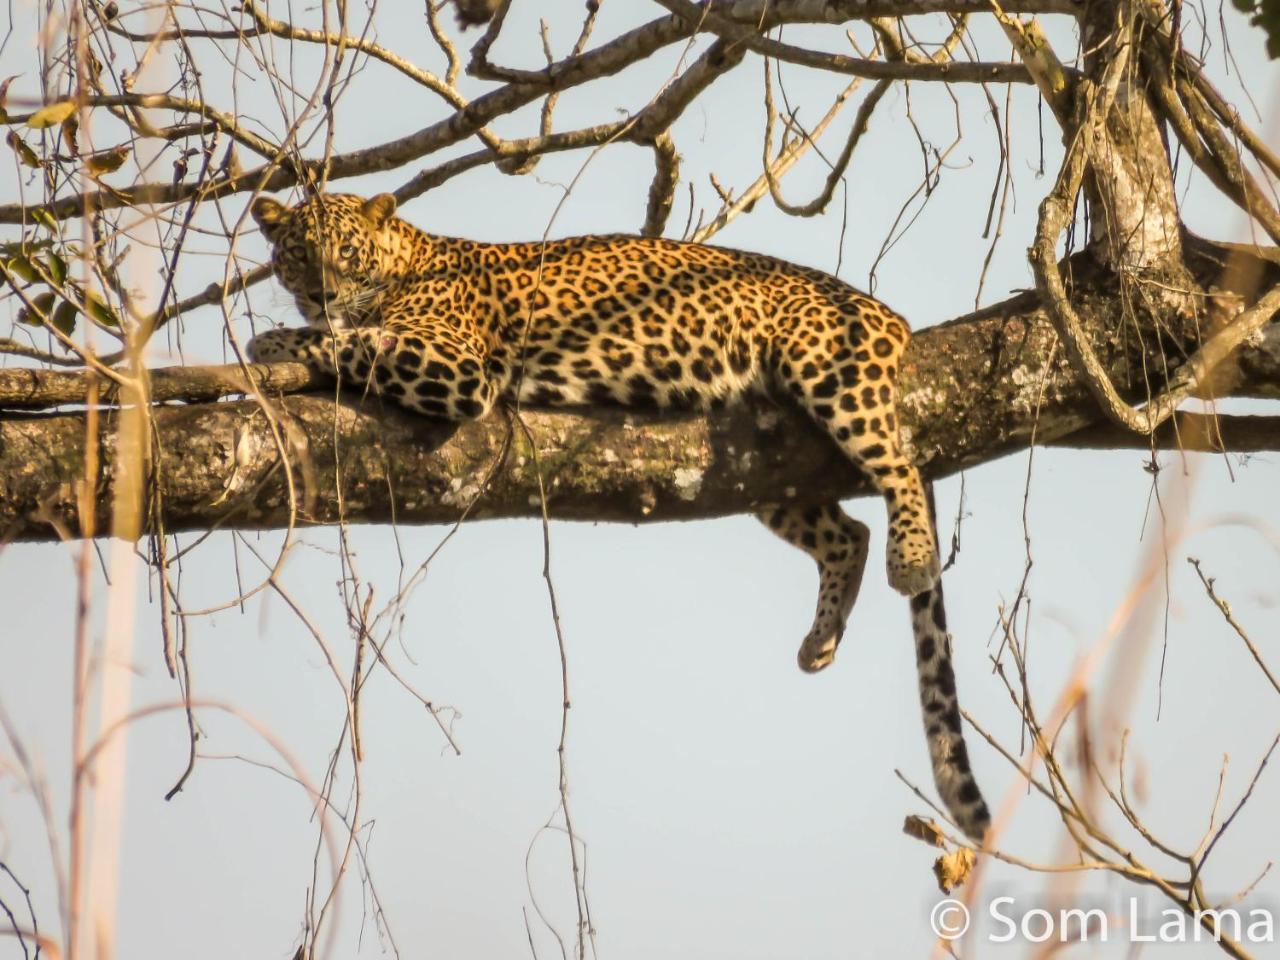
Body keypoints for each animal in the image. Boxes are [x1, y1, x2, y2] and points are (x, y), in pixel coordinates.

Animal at [247, 189, 988, 839]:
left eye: (347, 251)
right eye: (298, 254)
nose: (322, 296)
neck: (404, 260)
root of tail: (886, 312)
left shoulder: (453, 364)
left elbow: (352, 344)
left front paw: (275, 344)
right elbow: (347, 339)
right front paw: (288, 335)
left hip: (828, 370)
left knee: (901, 469)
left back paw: (910, 557)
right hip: (766, 467)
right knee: (848, 532)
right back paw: (822, 639)